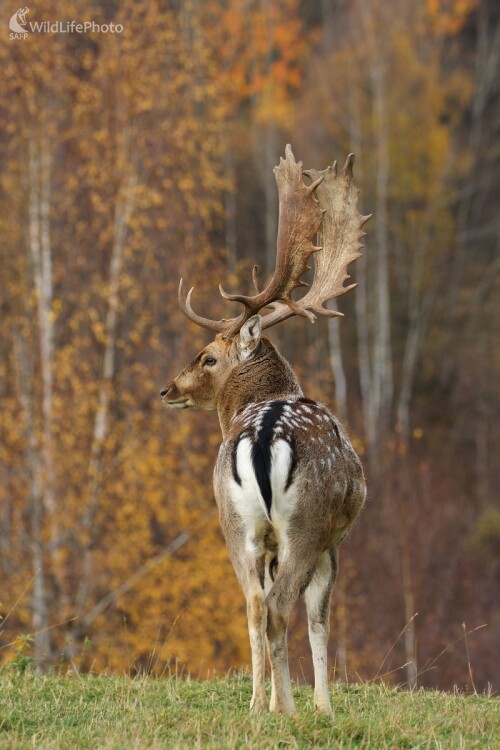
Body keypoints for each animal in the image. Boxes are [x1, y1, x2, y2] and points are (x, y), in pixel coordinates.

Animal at [162, 147, 370, 716]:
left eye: (207, 358)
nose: (168, 389)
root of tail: (260, 436)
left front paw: (271, 700)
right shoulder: (333, 540)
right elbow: (319, 620)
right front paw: (323, 707)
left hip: (238, 524)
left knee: (256, 604)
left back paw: (261, 705)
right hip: (305, 526)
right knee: (279, 607)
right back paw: (290, 709)